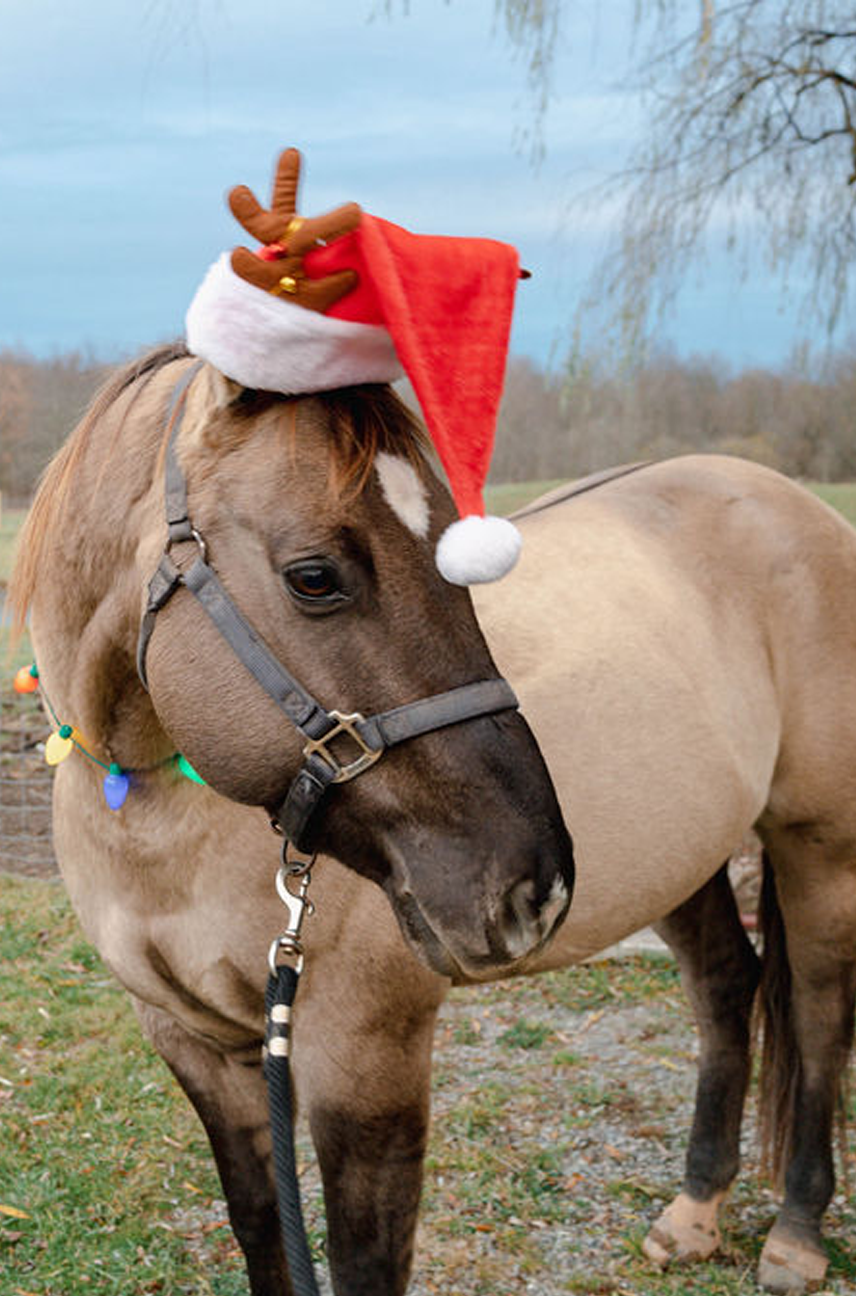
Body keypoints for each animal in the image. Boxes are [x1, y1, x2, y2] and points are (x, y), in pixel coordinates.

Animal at [11, 347, 856, 1296]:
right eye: (314, 577)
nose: (530, 886)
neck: (156, 817)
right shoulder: (196, 1047)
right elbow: (261, 1227)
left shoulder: (363, 1062)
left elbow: (366, 1262)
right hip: (685, 858)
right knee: (725, 986)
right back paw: (695, 1213)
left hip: (821, 847)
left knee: (819, 1015)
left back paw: (796, 1233)